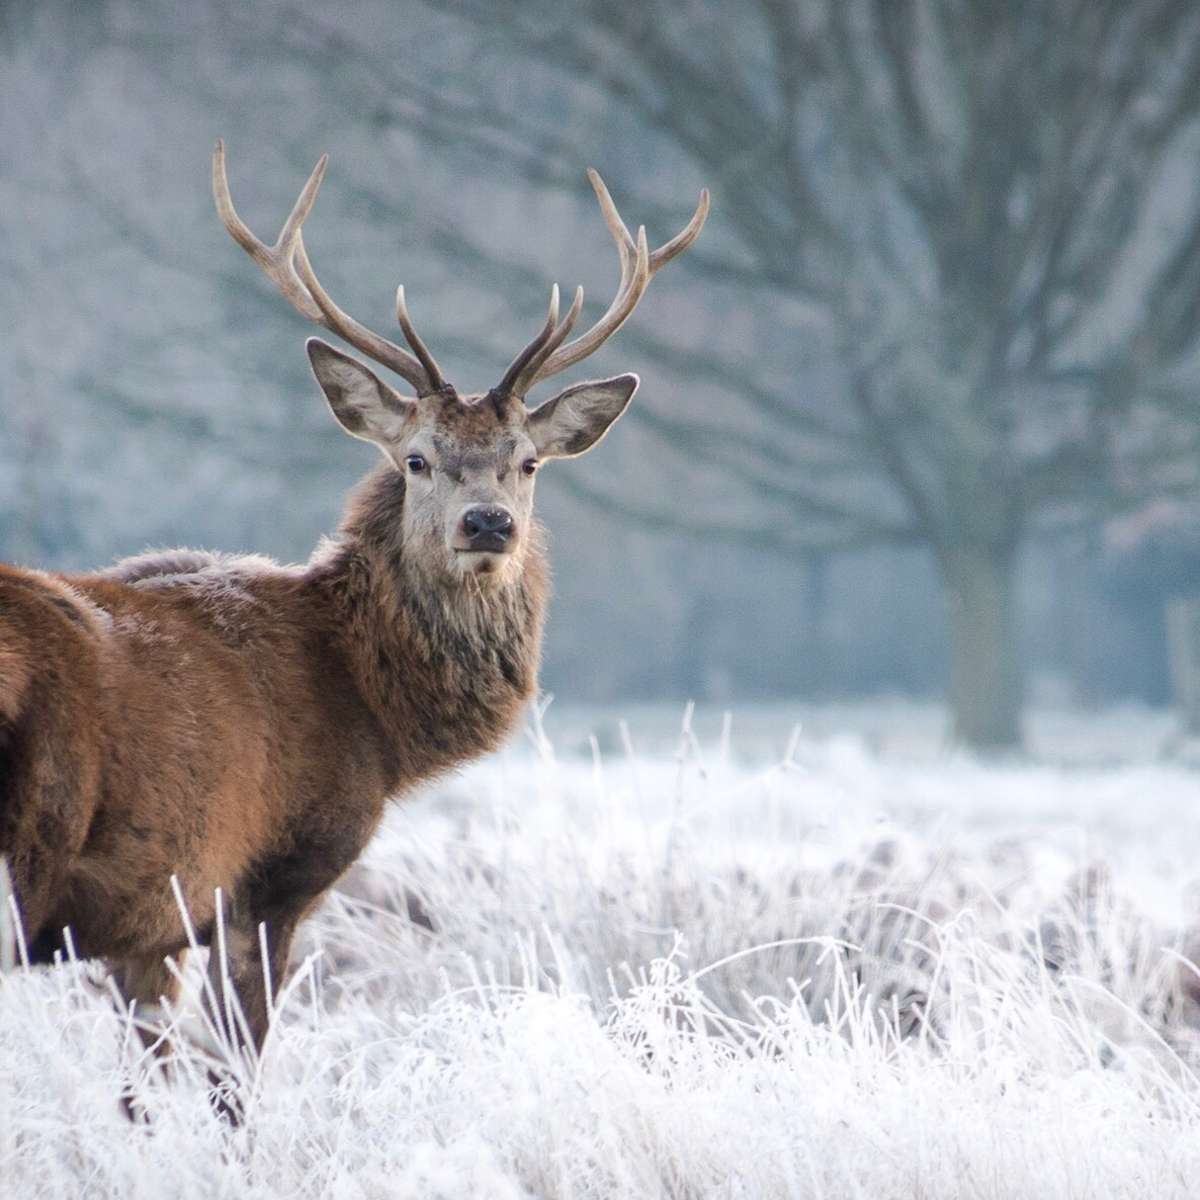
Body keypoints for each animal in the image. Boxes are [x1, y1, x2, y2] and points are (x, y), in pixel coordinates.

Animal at [0, 142, 707, 1101]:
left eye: (527, 462)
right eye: (416, 459)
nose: (488, 524)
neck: (370, 710)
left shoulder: (147, 926)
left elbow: (138, 1092)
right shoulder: (266, 875)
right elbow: (231, 1083)